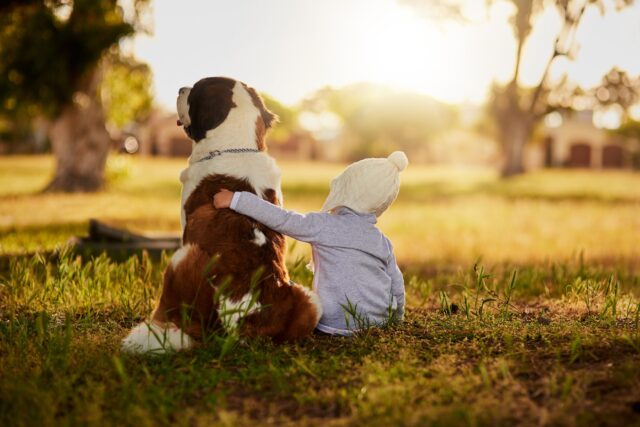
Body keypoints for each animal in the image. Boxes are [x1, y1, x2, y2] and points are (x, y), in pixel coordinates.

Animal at [121, 77, 320, 354]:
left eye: (194, 90)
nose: (181, 88)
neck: (235, 148)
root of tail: (245, 323)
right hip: (310, 300)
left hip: (183, 256)